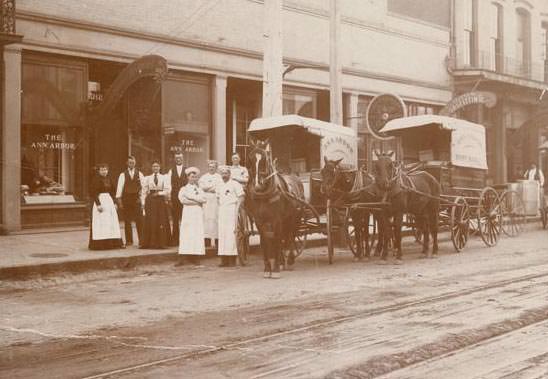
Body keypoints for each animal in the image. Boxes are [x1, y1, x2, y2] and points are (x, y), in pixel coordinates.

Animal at [246, 140, 306, 280]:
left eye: (265, 159)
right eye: (250, 159)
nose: (257, 185)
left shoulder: (276, 220)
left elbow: (277, 240)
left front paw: (276, 269)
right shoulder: (259, 221)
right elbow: (265, 242)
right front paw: (267, 269)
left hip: (294, 218)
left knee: (290, 236)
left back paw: (289, 259)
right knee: (285, 236)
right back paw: (283, 261)